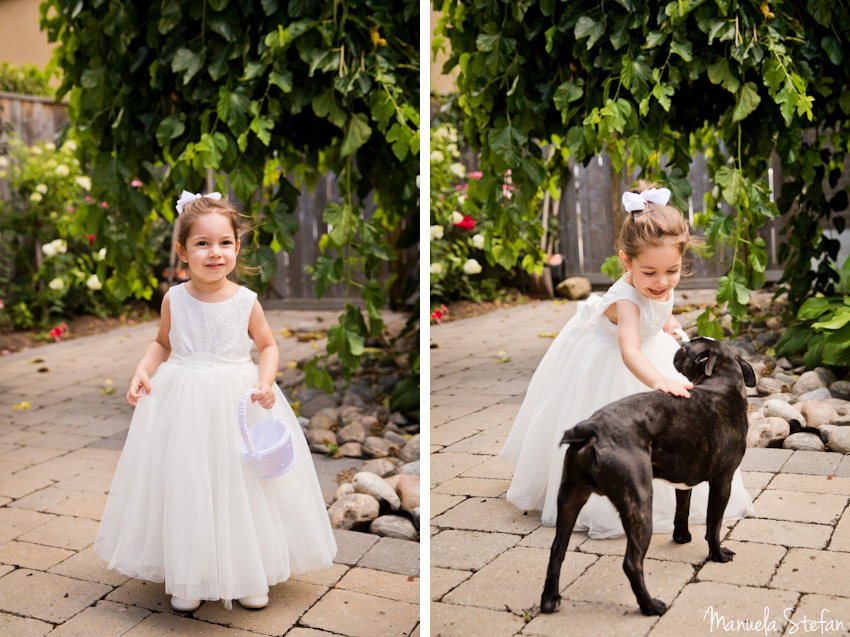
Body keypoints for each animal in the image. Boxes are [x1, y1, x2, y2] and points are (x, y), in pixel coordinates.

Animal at [540, 338, 752, 616]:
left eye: (686, 349)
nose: (680, 345)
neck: (722, 380)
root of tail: (591, 428)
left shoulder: (684, 480)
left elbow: (682, 509)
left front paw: (681, 538)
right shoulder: (723, 481)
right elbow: (713, 526)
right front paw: (718, 555)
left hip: (570, 497)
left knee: (557, 549)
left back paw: (550, 600)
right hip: (639, 506)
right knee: (632, 563)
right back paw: (650, 606)